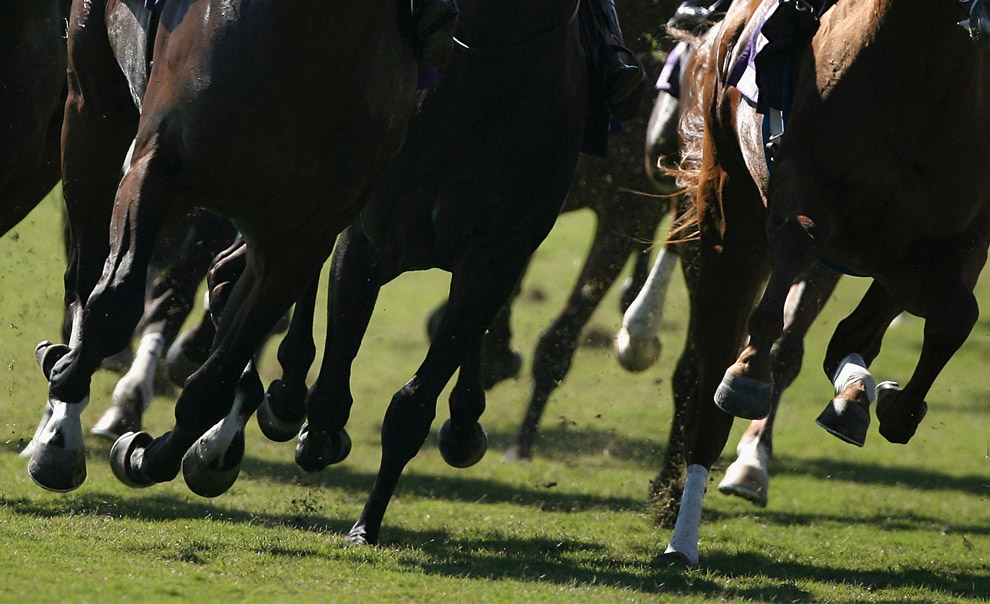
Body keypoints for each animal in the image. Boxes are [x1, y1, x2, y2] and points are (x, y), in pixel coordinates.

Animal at [24, 0, 420, 493]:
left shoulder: (301, 239)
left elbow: (215, 378)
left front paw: (153, 455)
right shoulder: (158, 167)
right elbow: (113, 306)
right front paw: (61, 428)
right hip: (93, 108)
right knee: (86, 273)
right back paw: (61, 417)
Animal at [251, 0, 590, 544]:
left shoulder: (496, 258)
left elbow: (414, 404)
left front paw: (367, 523)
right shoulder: (366, 242)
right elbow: (330, 390)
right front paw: (314, 436)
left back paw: (464, 422)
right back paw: (287, 391)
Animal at [661, 0, 990, 565]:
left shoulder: (944, 244)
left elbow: (954, 317)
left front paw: (895, 405)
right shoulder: (802, 178)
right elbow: (798, 241)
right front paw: (749, 373)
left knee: (853, 335)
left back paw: (853, 396)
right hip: (730, 209)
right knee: (710, 374)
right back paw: (682, 540)